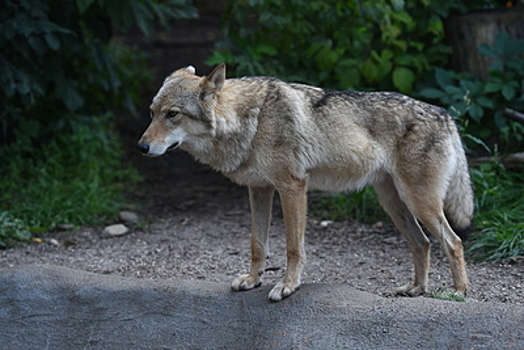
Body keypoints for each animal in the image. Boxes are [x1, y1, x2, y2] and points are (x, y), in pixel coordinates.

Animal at [137, 64, 472, 302]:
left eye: (173, 114)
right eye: (152, 113)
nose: (141, 147)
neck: (250, 120)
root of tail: (446, 115)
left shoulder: (292, 187)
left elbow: (292, 247)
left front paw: (287, 286)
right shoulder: (259, 190)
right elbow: (257, 244)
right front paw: (252, 280)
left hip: (419, 203)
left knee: (453, 242)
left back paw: (458, 292)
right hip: (393, 203)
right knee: (423, 243)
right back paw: (416, 290)